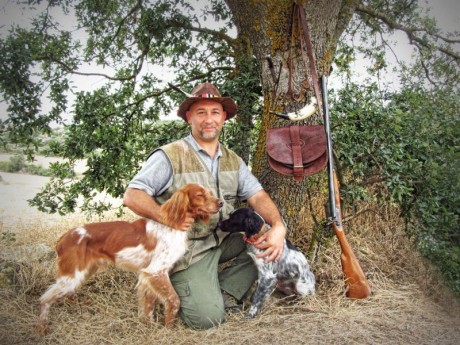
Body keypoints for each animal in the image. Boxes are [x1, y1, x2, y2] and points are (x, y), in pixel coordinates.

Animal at [37, 183, 221, 334]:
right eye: (200, 195)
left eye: (209, 192)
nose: (221, 203)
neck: (172, 224)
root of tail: (63, 238)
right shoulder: (156, 271)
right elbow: (174, 300)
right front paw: (167, 329)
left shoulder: (148, 276)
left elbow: (148, 306)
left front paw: (149, 327)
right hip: (72, 276)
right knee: (44, 299)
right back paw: (43, 329)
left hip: (84, 272)